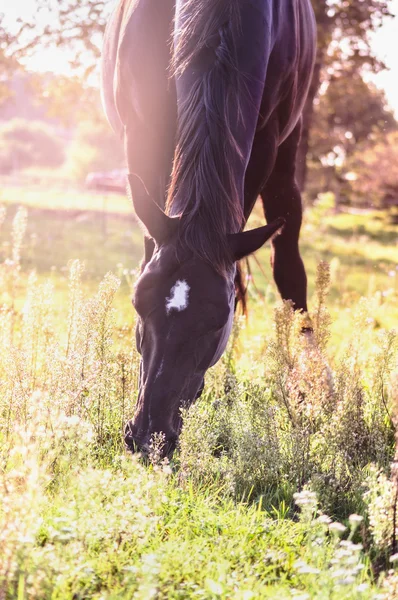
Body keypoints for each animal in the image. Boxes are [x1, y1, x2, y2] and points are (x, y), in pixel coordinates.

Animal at [102, 0, 318, 454]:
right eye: (137, 303)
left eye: (218, 320)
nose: (149, 438)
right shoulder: (141, 138)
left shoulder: (263, 144)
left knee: (289, 267)